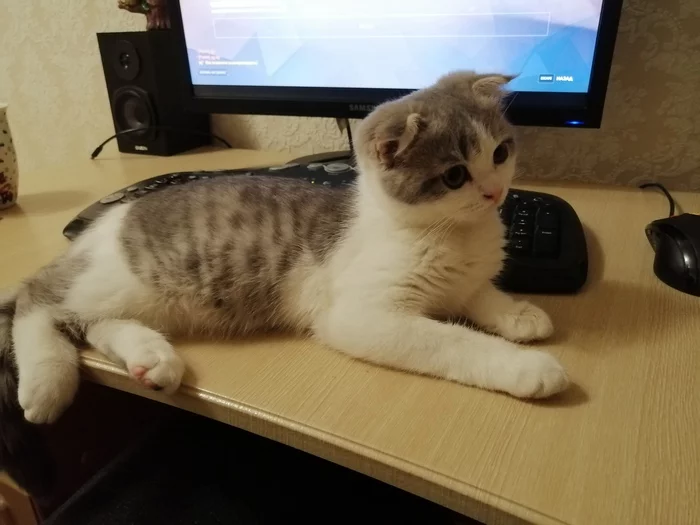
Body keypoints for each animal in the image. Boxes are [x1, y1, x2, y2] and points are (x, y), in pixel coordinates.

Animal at [0, 70, 568, 434]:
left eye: (500, 152)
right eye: (454, 175)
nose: (495, 193)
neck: (452, 233)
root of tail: (103, 223)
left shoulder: (464, 278)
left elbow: (480, 293)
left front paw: (519, 313)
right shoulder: (363, 316)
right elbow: (453, 342)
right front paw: (527, 367)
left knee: (93, 321)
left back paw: (151, 358)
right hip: (129, 276)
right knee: (38, 299)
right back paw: (46, 383)